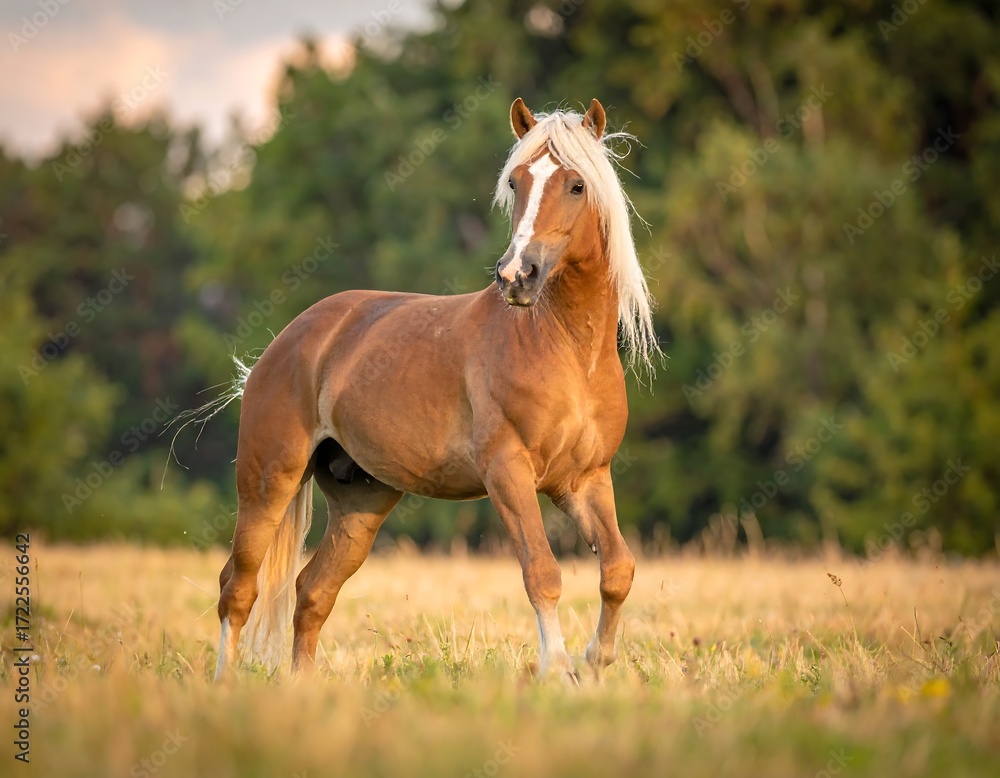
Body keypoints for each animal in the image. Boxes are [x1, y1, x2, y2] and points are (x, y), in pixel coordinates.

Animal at [213, 97, 660, 683]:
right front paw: (557, 671)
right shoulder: (508, 473)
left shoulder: (583, 481)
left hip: (362, 502)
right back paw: (223, 684)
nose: (517, 276)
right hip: (269, 484)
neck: (566, 349)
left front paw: (595, 663)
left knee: (311, 592)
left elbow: (618, 568)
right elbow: (541, 572)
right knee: (237, 588)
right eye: (515, 181)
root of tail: (284, 342)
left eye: (577, 185)